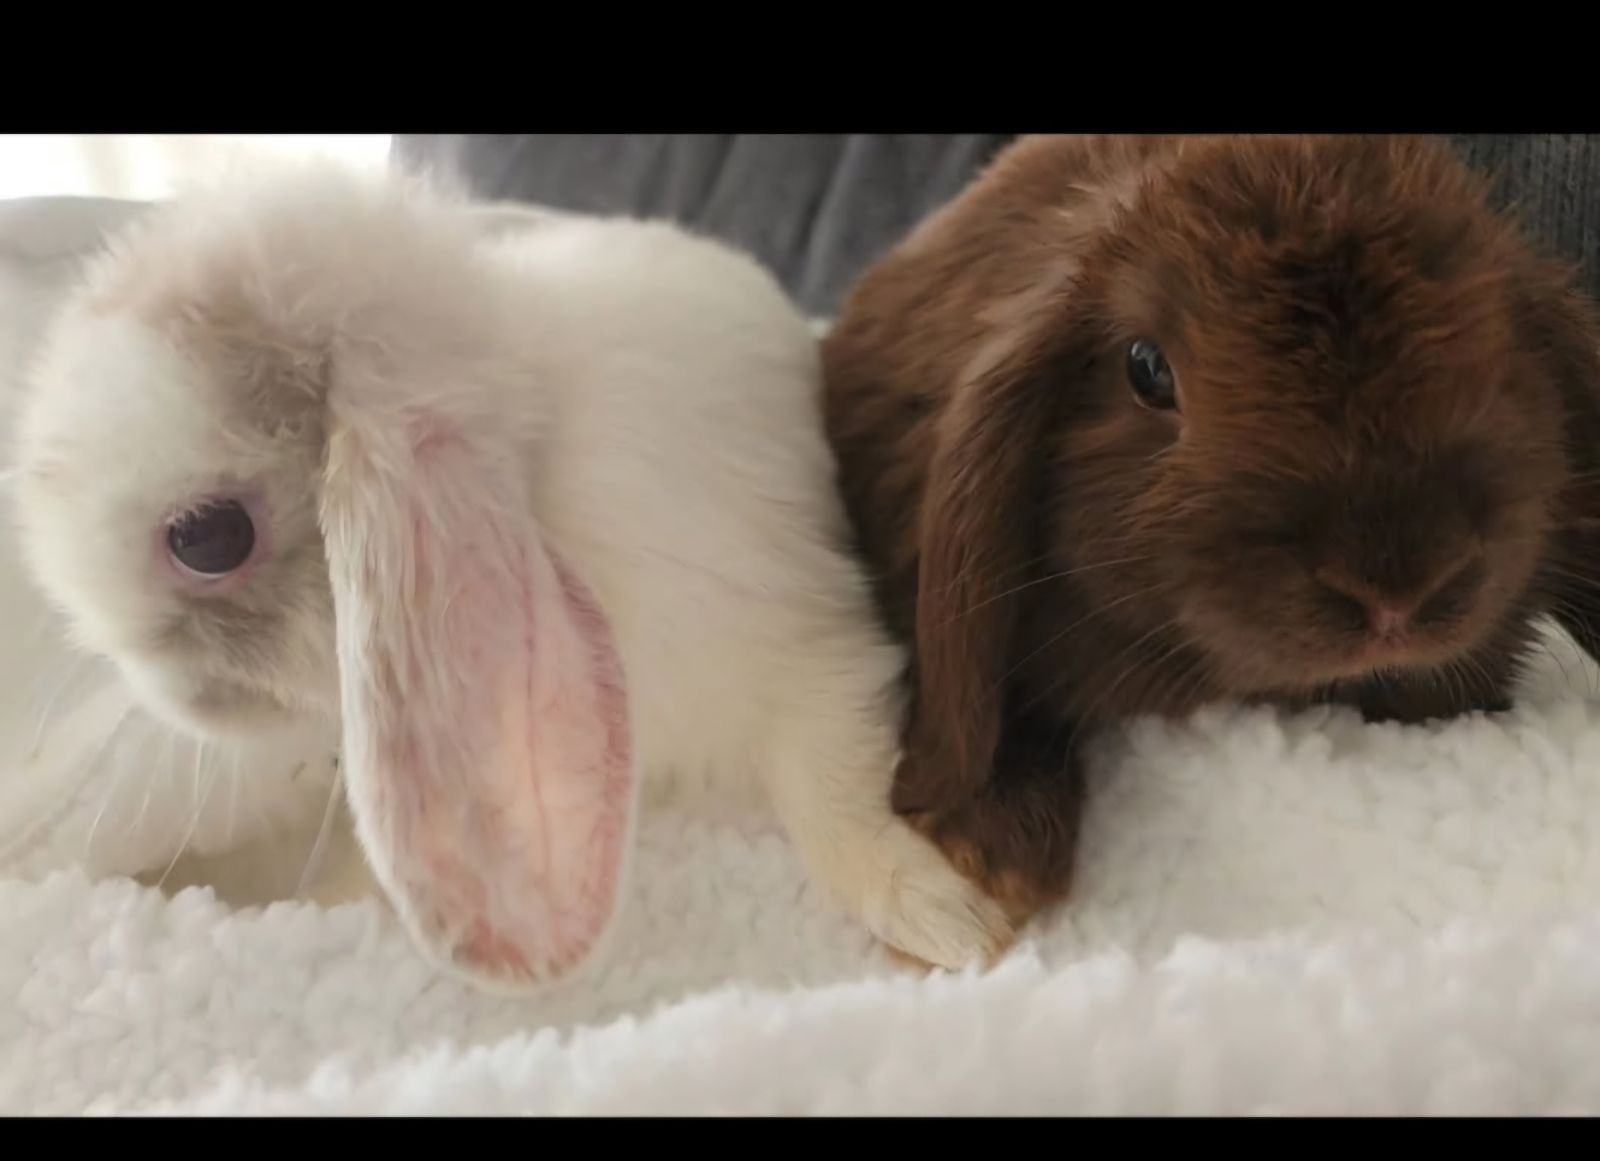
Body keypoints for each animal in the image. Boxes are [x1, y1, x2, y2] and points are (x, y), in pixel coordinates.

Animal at [8, 163, 1012, 992]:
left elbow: (836, 794)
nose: (165, 693)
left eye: (210, 537)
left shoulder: (807, 647)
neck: (536, 484)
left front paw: (947, 921)